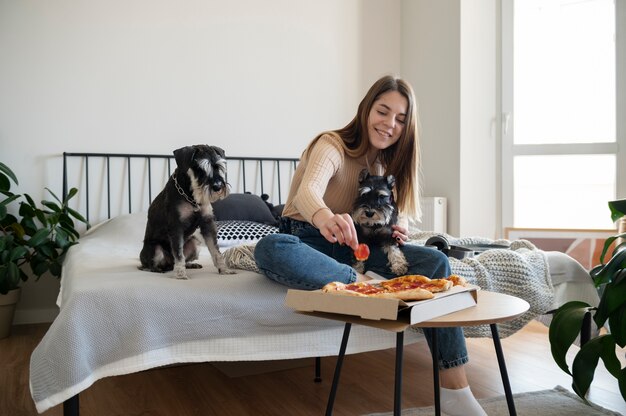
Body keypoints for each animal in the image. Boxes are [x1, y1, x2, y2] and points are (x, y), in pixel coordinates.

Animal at [139, 145, 234, 278]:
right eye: (200, 169)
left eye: (218, 167)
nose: (217, 187)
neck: (191, 195)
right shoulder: (176, 226)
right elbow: (178, 253)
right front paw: (180, 274)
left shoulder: (207, 223)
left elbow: (215, 250)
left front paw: (224, 269)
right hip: (155, 249)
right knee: (149, 265)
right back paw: (158, 269)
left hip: (194, 244)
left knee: (182, 259)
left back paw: (190, 265)